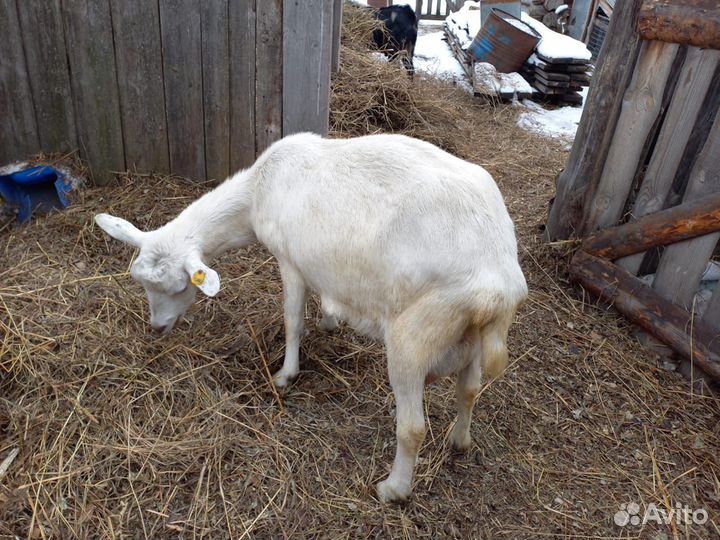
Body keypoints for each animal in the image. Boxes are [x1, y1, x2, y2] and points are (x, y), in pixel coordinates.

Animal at [95, 132, 528, 502]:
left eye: (176, 287)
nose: (157, 328)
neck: (255, 192)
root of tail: (498, 283)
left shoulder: (289, 260)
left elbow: (292, 321)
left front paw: (285, 374)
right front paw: (330, 319)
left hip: (417, 333)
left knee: (413, 428)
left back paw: (393, 489)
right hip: (468, 336)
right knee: (469, 390)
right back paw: (460, 441)